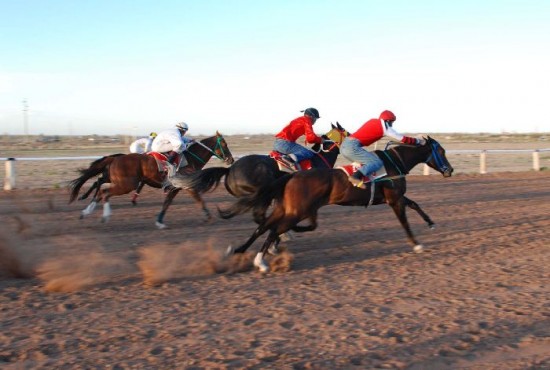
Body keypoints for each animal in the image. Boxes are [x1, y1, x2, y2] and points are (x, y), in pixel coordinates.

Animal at [69, 130, 235, 228]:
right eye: (225, 144)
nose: (231, 160)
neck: (190, 159)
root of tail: (114, 158)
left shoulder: (175, 187)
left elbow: (167, 202)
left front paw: (159, 221)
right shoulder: (186, 185)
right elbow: (199, 199)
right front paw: (208, 217)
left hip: (118, 180)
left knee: (100, 189)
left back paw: (86, 212)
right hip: (127, 184)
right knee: (104, 192)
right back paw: (104, 215)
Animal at [220, 136, 458, 272]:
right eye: (442, 151)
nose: (449, 170)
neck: (394, 163)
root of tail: (292, 175)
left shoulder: (397, 197)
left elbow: (415, 204)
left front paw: (431, 223)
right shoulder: (394, 200)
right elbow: (405, 222)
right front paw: (416, 244)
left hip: (285, 208)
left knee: (264, 226)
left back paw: (239, 250)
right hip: (296, 211)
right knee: (273, 229)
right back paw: (261, 260)